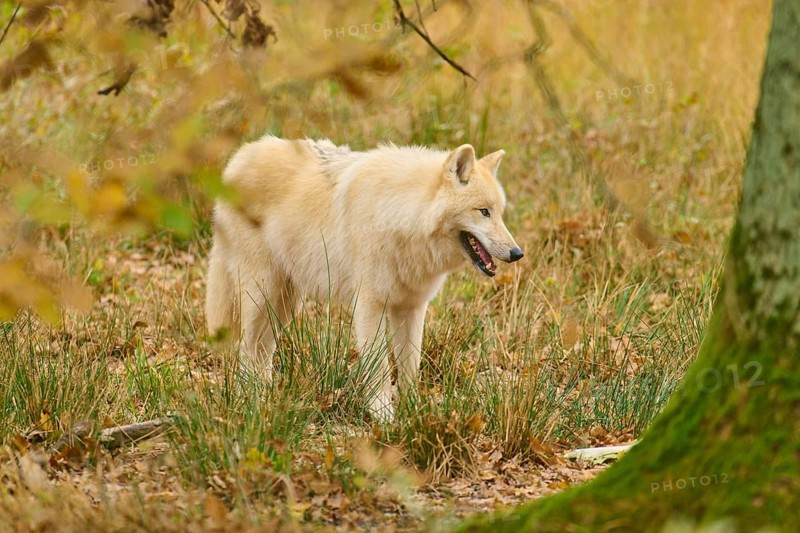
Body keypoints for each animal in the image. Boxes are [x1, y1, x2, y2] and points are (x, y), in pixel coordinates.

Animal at [205, 136, 524, 421]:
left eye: (500, 213)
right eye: (483, 211)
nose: (517, 253)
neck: (403, 217)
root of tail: (238, 159)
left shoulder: (411, 308)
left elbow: (411, 365)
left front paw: (414, 411)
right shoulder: (370, 305)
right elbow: (379, 365)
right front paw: (382, 414)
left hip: (284, 305)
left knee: (264, 349)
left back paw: (267, 395)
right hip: (262, 295)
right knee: (247, 350)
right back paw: (251, 400)